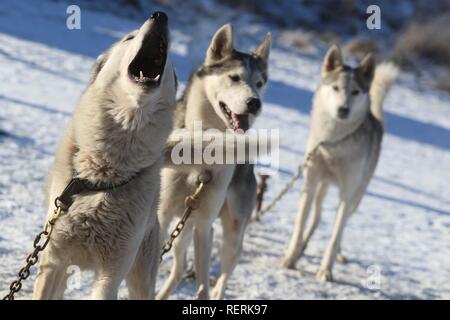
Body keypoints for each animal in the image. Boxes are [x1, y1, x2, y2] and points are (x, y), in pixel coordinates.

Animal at [33, 11, 176, 298]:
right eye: (129, 37)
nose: (160, 15)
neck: (103, 175)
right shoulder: (52, 260)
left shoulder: (112, 273)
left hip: (141, 279)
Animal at [158, 25, 270, 300]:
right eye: (235, 78)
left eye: (259, 83)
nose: (255, 103)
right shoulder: (162, 216)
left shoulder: (204, 226)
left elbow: (203, 289)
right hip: (183, 230)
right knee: (179, 269)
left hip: (231, 236)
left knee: (220, 279)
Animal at [282, 44, 398, 280]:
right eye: (335, 88)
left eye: (355, 91)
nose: (343, 109)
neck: (333, 143)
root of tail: (376, 120)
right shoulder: (309, 183)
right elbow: (299, 225)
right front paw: (290, 258)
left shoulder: (347, 194)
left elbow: (335, 236)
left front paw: (325, 271)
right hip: (321, 188)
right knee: (316, 218)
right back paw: (301, 249)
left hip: (356, 198)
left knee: (341, 226)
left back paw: (337, 255)